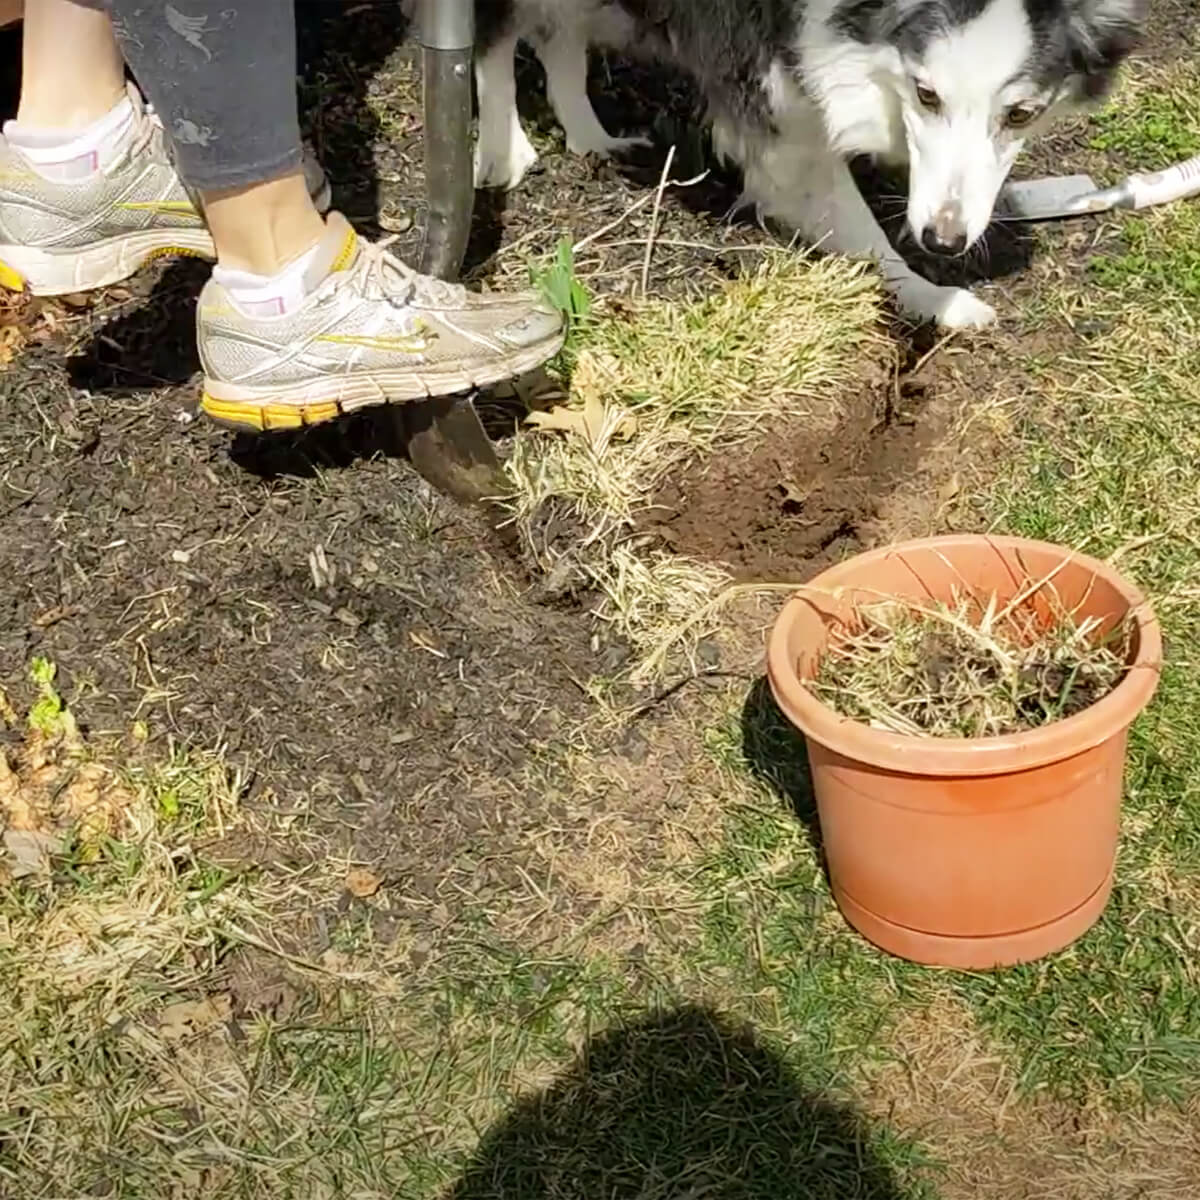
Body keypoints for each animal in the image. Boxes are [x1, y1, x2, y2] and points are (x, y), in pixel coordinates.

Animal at [468, 0, 1142, 328]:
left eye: (1022, 114)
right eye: (925, 94)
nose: (944, 242)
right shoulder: (773, 98)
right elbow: (852, 220)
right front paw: (930, 297)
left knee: (559, 35)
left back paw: (589, 134)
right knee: (495, 39)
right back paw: (503, 151)